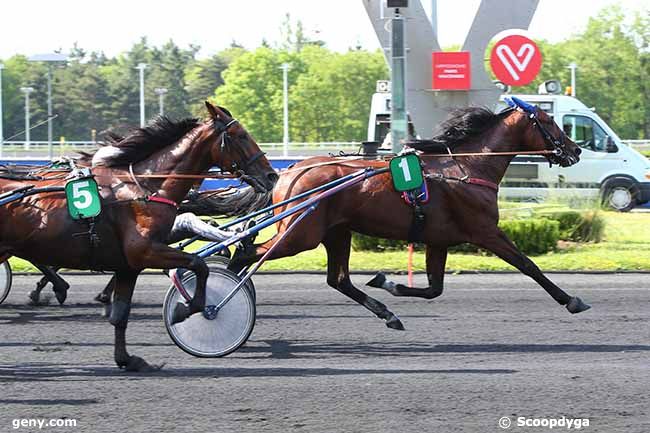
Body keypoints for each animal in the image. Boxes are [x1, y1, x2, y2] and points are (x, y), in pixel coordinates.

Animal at [0, 102, 276, 372]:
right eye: (240, 135)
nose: (271, 175)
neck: (146, 188)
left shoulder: (128, 265)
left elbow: (121, 314)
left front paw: (126, 359)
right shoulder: (145, 251)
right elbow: (199, 265)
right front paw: (186, 309)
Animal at [228, 97, 588, 328]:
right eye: (549, 122)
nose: (576, 150)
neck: (468, 166)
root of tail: (288, 172)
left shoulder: (438, 240)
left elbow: (433, 288)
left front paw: (388, 282)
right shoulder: (485, 231)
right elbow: (528, 265)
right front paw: (571, 300)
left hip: (336, 231)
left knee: (339, 279)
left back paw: (388, 315)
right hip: (300, 234)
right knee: (246, 253)